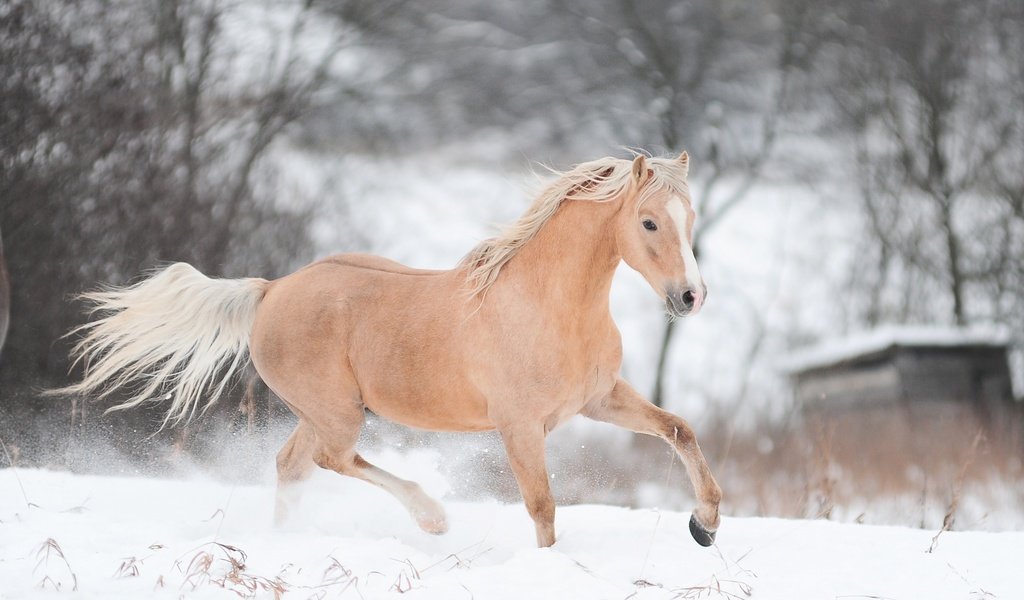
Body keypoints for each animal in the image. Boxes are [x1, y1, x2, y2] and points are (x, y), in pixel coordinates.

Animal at [59, 150, 724, 544]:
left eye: (690, 218)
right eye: (648, 222)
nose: (691, 296)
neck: (547, 306)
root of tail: (271, 290)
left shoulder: (599, 400)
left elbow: (680, 429)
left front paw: (706, 524)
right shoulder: (519, 425)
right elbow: (543, 506)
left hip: (319, 412)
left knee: (293, 465)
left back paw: (285, 544)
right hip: (338, 412)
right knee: (331, 460)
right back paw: (431, 516)